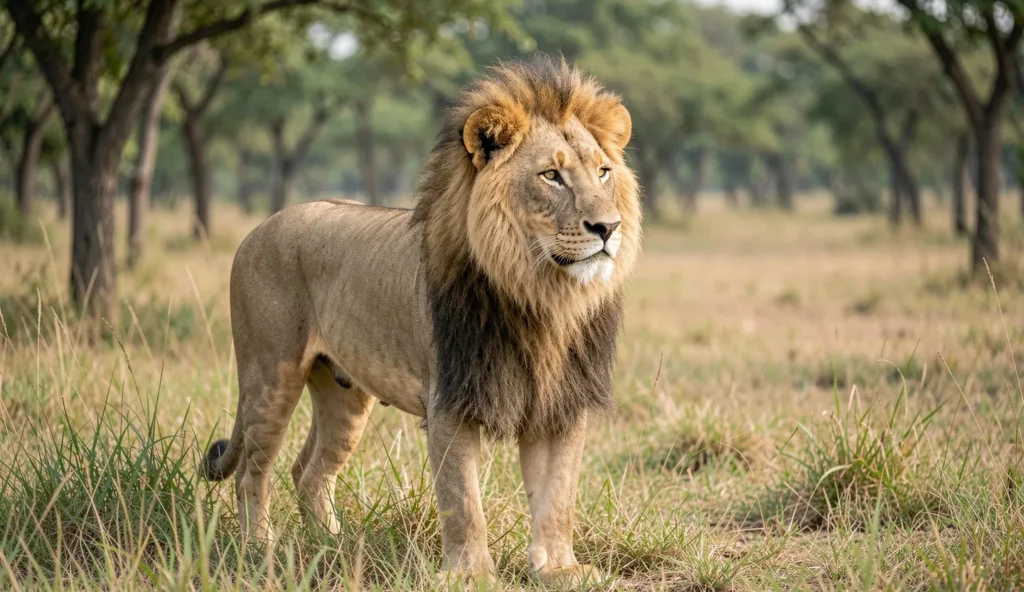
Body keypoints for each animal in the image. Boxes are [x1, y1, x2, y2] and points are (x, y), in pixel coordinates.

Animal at [202, 57, 641, 587]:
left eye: (603, 172)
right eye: (551, 175)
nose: (609, 228)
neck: (543, 299)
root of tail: (259, 227)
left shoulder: (561, 405)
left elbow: (558, 498)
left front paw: (561, 570)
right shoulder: (450, 400)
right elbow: (463, 502)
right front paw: (473, 576)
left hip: (345, 394)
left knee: (308, 472)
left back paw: (332, 545)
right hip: (270, 376)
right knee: (252, 470)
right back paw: (259, 548)